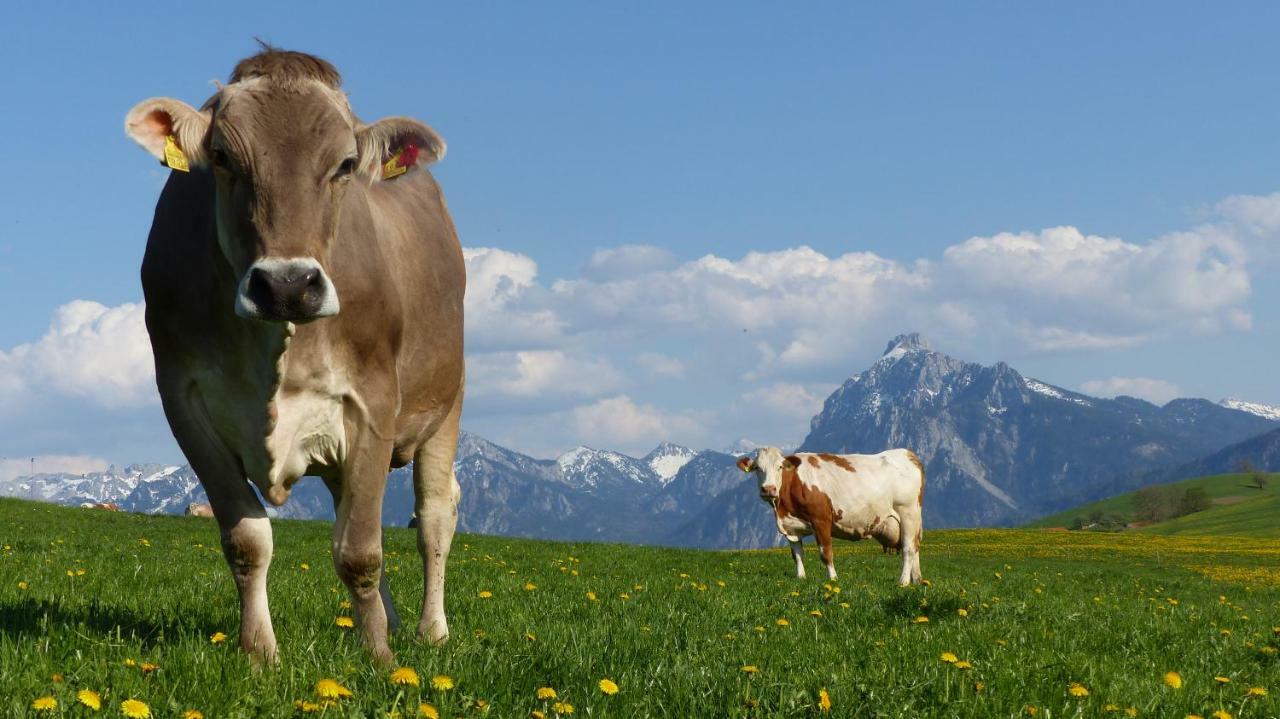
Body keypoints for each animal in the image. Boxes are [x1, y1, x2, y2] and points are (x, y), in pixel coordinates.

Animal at [123, 46, 465, 660]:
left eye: (346, 165)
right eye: (221, 157)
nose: (286, 285)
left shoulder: (373, 400)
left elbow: (361, 551)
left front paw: (380, 659)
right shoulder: (184, 401)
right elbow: (248, 540)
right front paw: (260, 652)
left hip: (446, 400)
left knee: (433, 515)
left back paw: (431, 630)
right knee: (347, 508)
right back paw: (391, 619)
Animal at [737, 445, 926, 585]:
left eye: (780, 467)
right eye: (757, 468)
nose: (768, 489)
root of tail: (907, 454)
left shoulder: (821, 520)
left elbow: (826, 553)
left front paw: (833, 579)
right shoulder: (791, 528)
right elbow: (797, 555)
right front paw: (801, 578)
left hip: (908, 513)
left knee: (908, 548)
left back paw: (903, 582)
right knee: (915, 547)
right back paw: (917, 580)